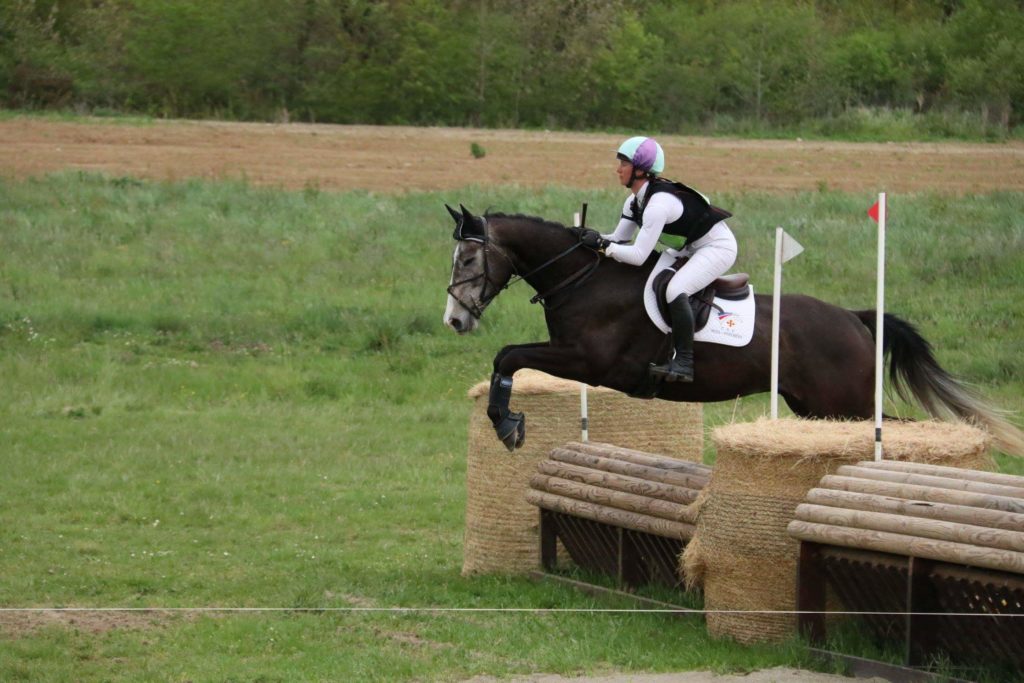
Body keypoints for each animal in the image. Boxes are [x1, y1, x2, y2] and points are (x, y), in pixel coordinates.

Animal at [444, 205, 1024, 456]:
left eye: (469, 257)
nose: (455, 319)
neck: (582, 276)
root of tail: (854, 318)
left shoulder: (589, 361)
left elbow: (508, 355)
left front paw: (507, 424)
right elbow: (506, 356)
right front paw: (507, 420)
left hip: (845, 404)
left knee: (890, 429)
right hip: (817, 408)